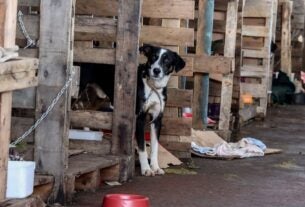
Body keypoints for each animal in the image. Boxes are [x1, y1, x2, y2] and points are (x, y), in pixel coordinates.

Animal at [136, 44, 185, 175]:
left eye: (167, 60)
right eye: (153, 56)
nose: (156, 70)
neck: (154, 87)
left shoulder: (157, 119)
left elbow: (155, 147)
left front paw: (155, 167)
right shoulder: (139, 118)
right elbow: (142, 147)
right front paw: (146, 169)